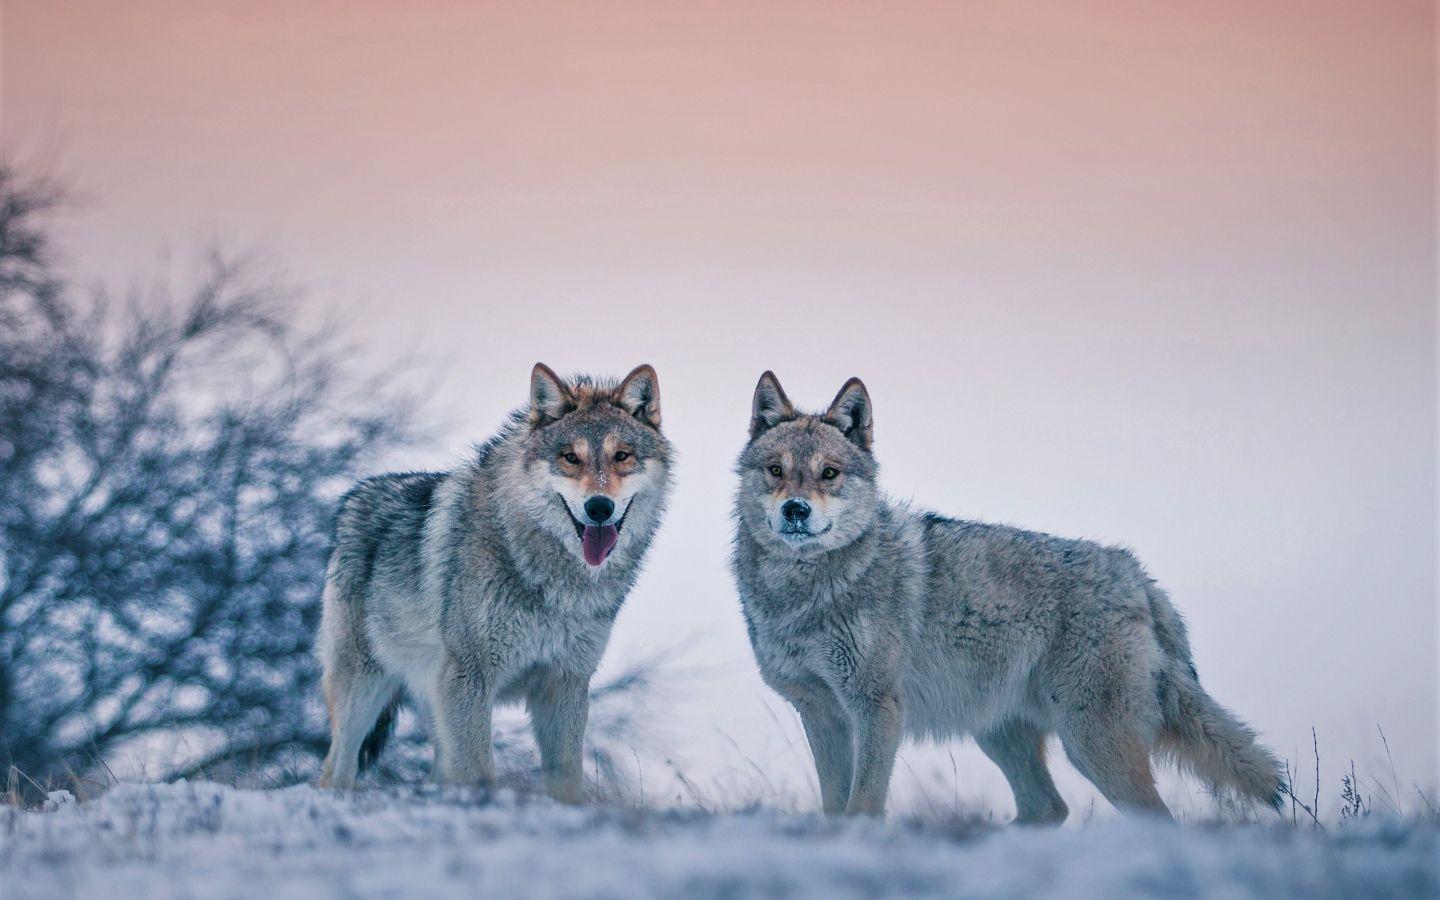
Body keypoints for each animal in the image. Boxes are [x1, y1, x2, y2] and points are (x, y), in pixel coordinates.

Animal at [317, 363, 672, 801]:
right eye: (570, 458)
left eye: (621, 455)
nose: (599, 507)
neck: (553, 579)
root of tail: (355, 496)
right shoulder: (471, 677)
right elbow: (480, 773)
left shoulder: (565, 683)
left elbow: (566, 776)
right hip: (364, 690)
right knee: (336, 770)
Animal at [731, 371, 1283, 821]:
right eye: (776, 470)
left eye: (829, 473)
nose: (796, 510)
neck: (802, 593)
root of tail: (1139, 577)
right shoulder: (820, 713)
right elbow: (833, 806)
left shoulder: (876, 708)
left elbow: (862, 804)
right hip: (1003, 735)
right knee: (1049, 807)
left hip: (1092, 745)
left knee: (1151, 817)